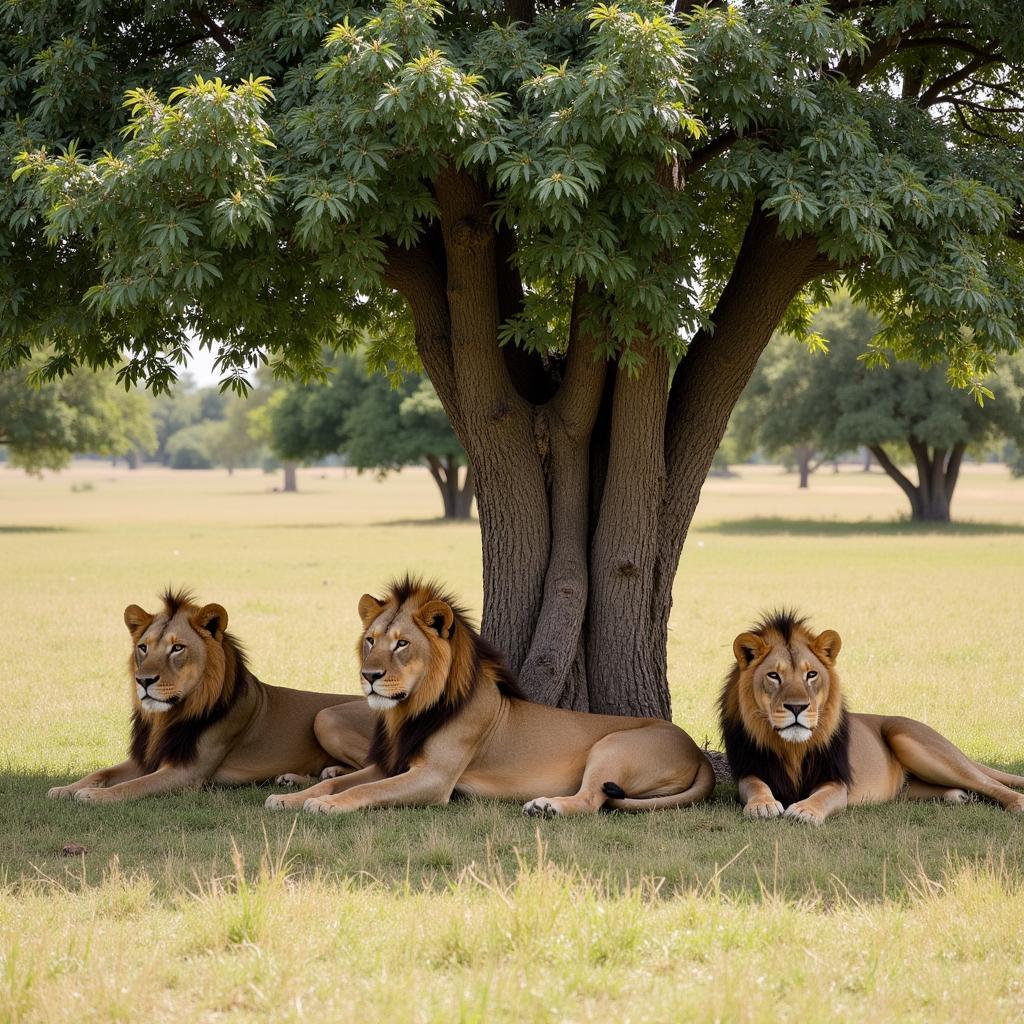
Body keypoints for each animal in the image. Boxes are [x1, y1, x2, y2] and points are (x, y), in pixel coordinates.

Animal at [48, 589, 376, 802]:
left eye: (177, 648)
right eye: (143, 647)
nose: (143, 681)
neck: (167, 717)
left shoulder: (187, 773)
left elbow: (131, 787)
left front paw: (91, 794)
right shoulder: (147, 758)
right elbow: (101, 772)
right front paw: (66, 788)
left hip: (325, 716)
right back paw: (303, 776)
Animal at [264, 577, 712, 815]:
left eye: (402, 644)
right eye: (370, 640)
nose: (369, 676)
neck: (410, 711)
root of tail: (698, 751)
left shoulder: (435, 779)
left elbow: (363, 791)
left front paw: (328, 805)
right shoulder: (391, 765)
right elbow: (340, 783)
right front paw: (290, 798)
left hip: (613, 746)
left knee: (591, 799)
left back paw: (547, 807)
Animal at [720, 606, 1024, 823]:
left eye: (811, 674)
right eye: (774, 676)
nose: (797, 707)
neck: (792, 748)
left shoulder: (837, 781)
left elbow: (823, 797)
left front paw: (804, 811)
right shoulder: (749, 768)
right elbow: (755, 786)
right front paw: (763, 805)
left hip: (916, 742)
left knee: (987, 781)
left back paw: (1017, 803)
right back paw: (958, 796)